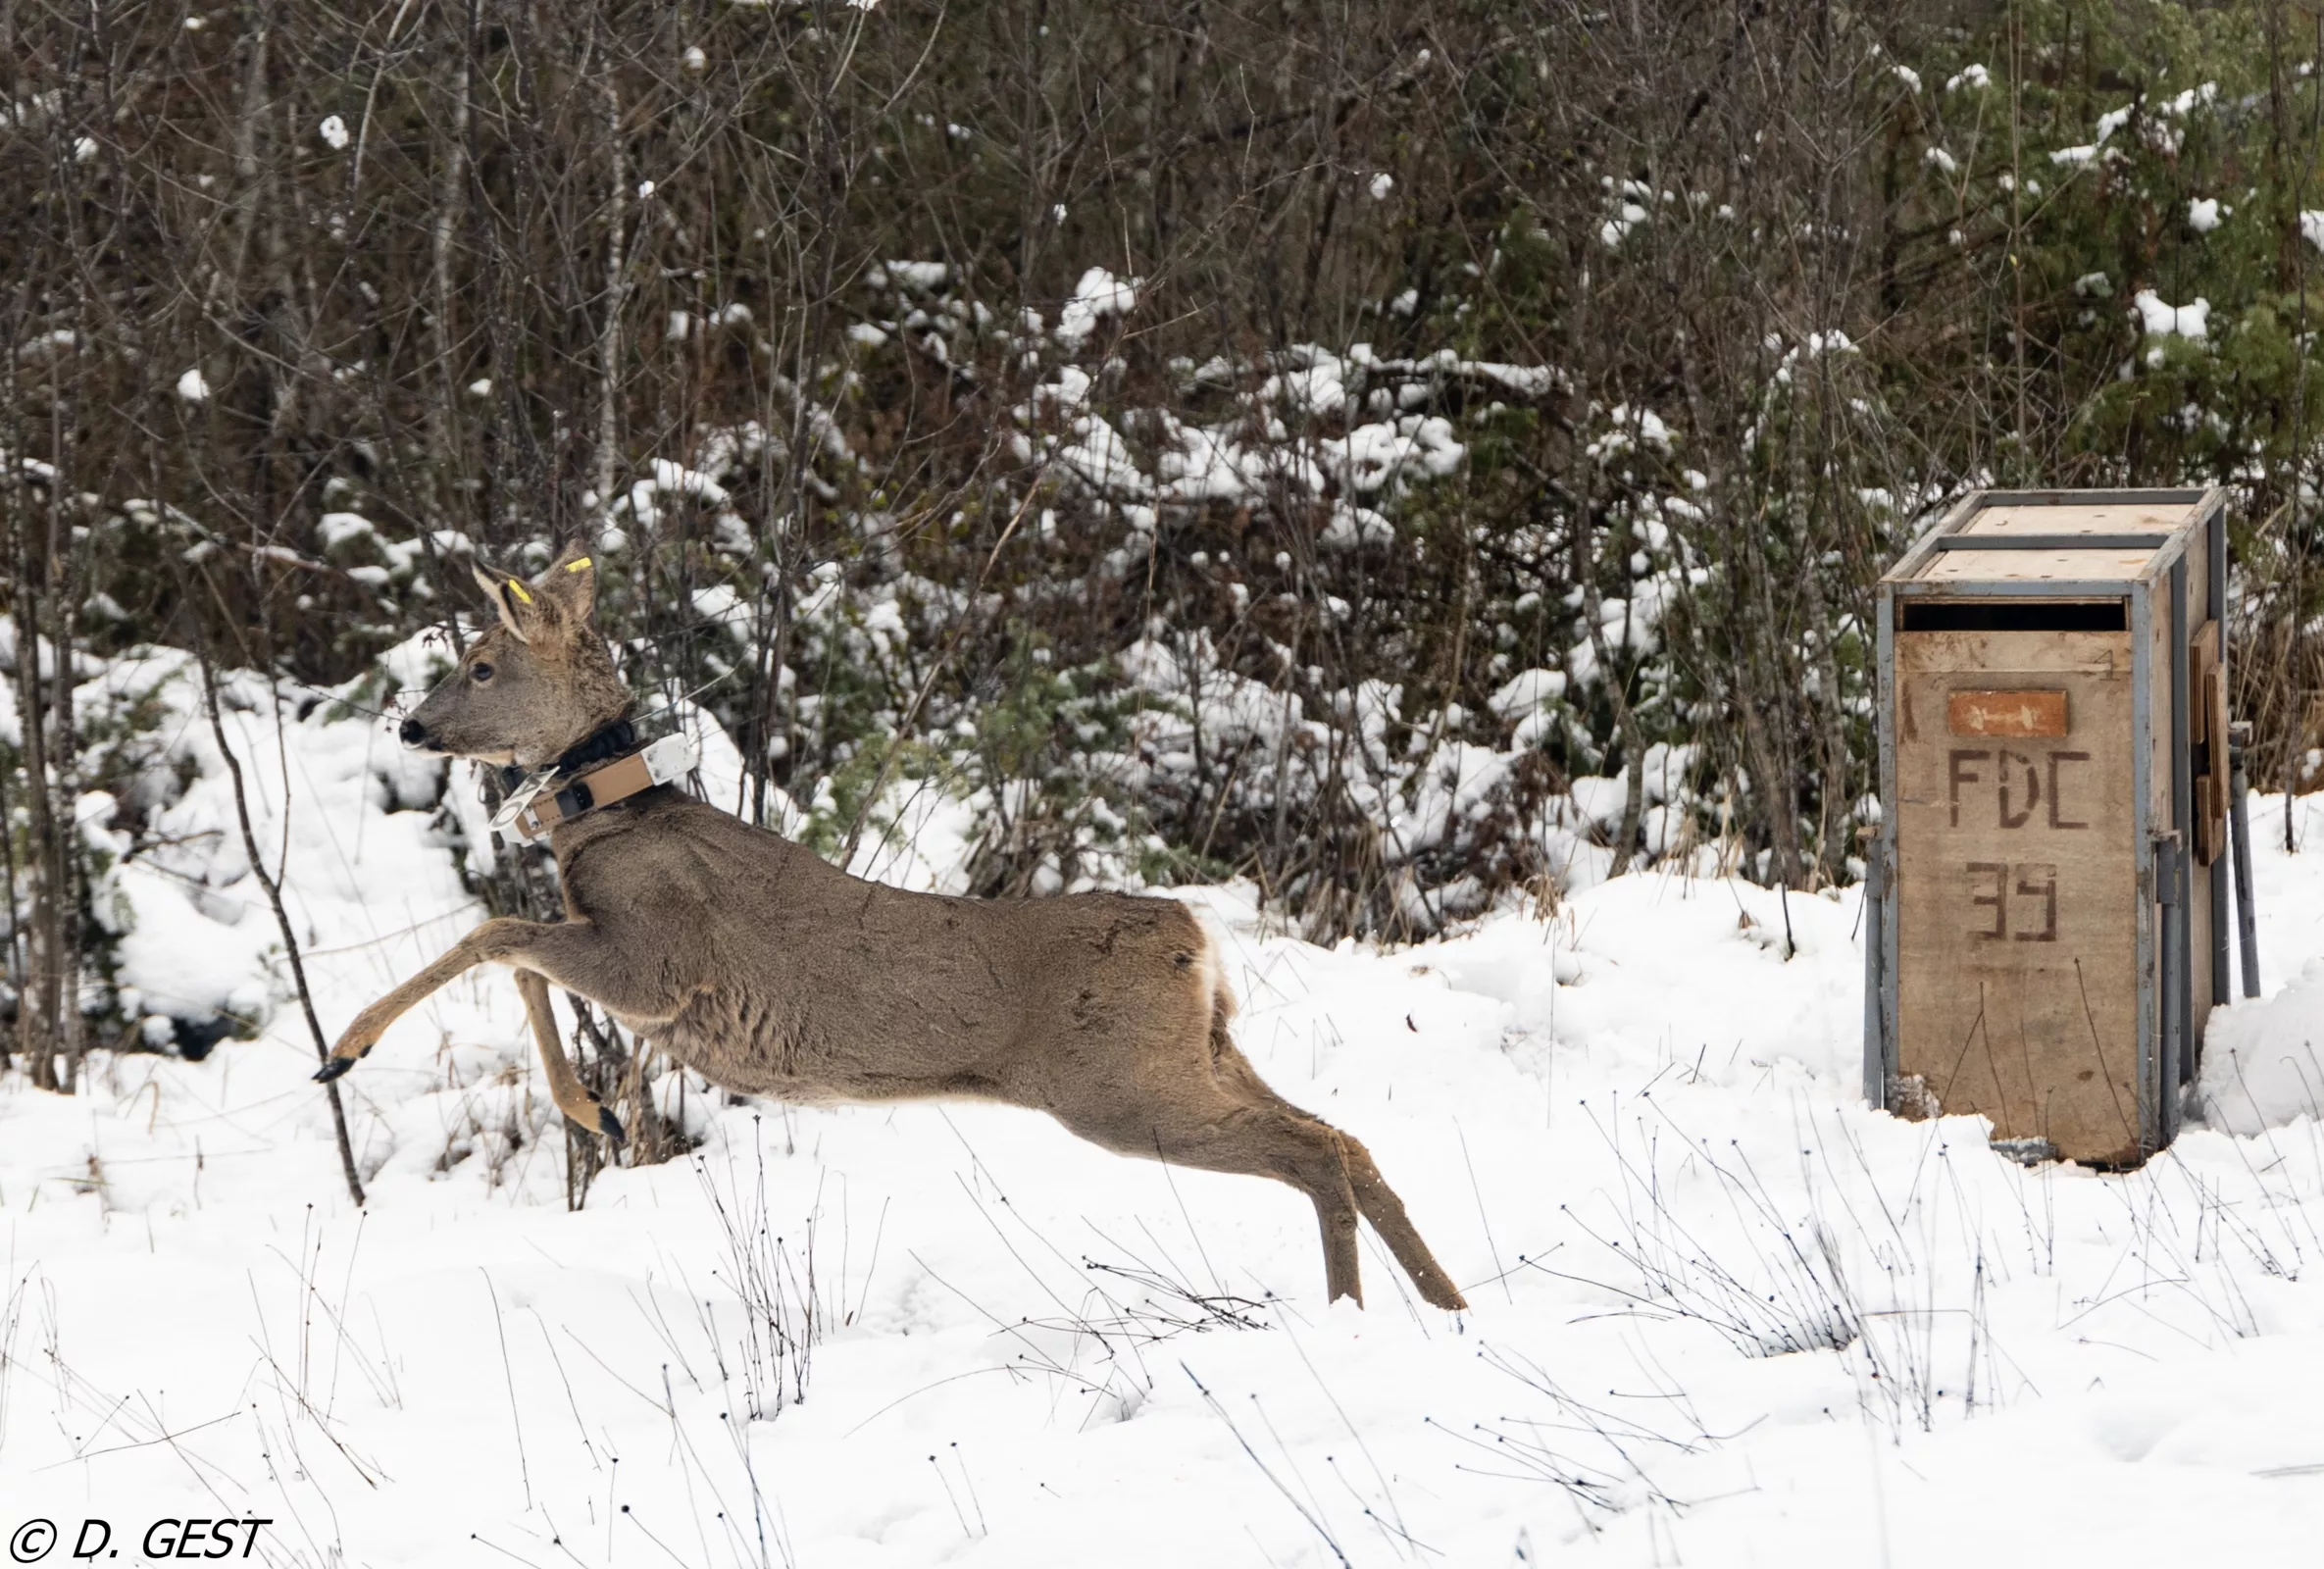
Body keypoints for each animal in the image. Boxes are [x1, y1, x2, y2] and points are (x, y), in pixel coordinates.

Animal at [318, 543, 1459, 1310]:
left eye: (480, 665)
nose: (410, 726)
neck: (610, 818)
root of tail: (1197, 938)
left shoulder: (660, 963)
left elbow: (497, 935)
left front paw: (350, 1048)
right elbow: (513, 949)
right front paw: (591, 1109)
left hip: (1119, 1084)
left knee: (1313, 1149)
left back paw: (1352, 1312)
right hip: (1202, 1050)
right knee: (1345, 1136)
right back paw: (1445, 1309)